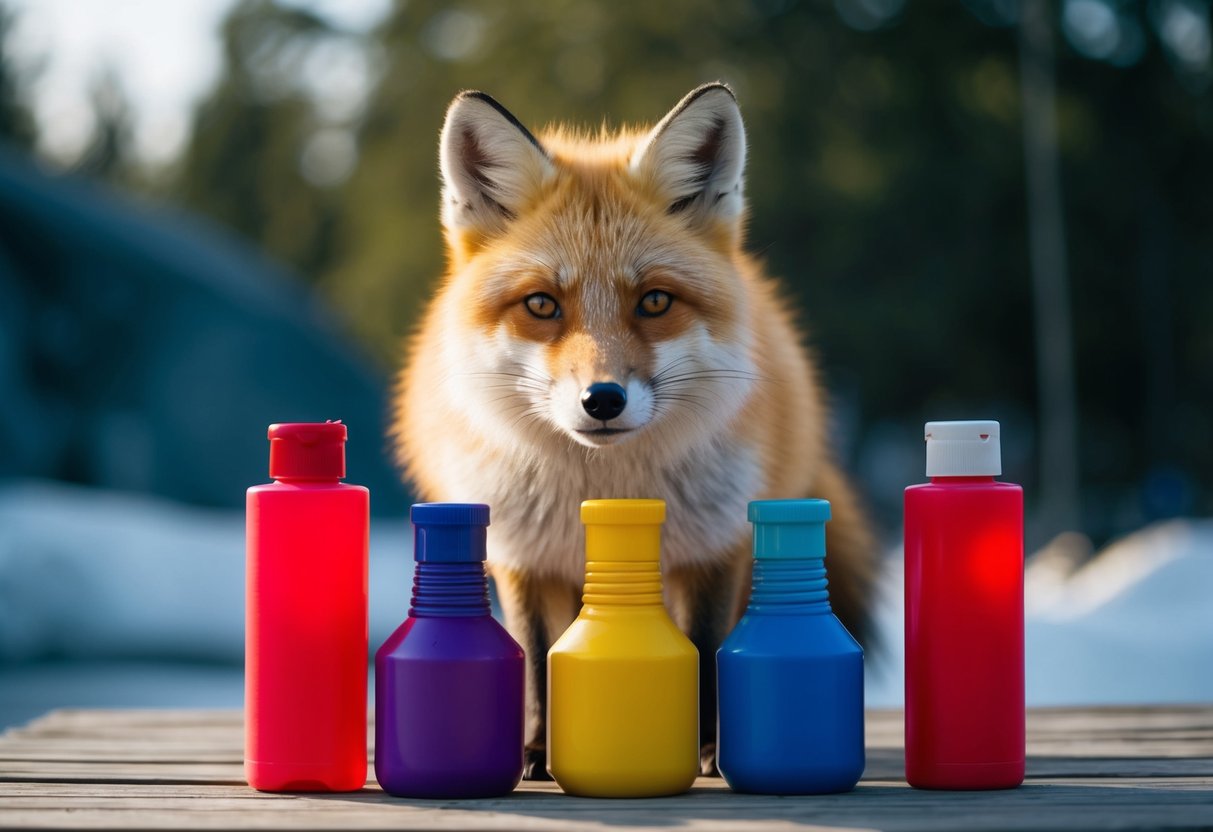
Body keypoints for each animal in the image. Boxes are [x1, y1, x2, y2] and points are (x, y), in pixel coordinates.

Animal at [395, 83, 876, 778]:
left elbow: (704, 649)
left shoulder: (712, 545)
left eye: (654, 301)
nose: (602, 400)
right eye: (542, 304)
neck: (604, 490)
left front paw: (706, 748)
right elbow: (537, 658)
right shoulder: (523, 556)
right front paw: (537, 748)